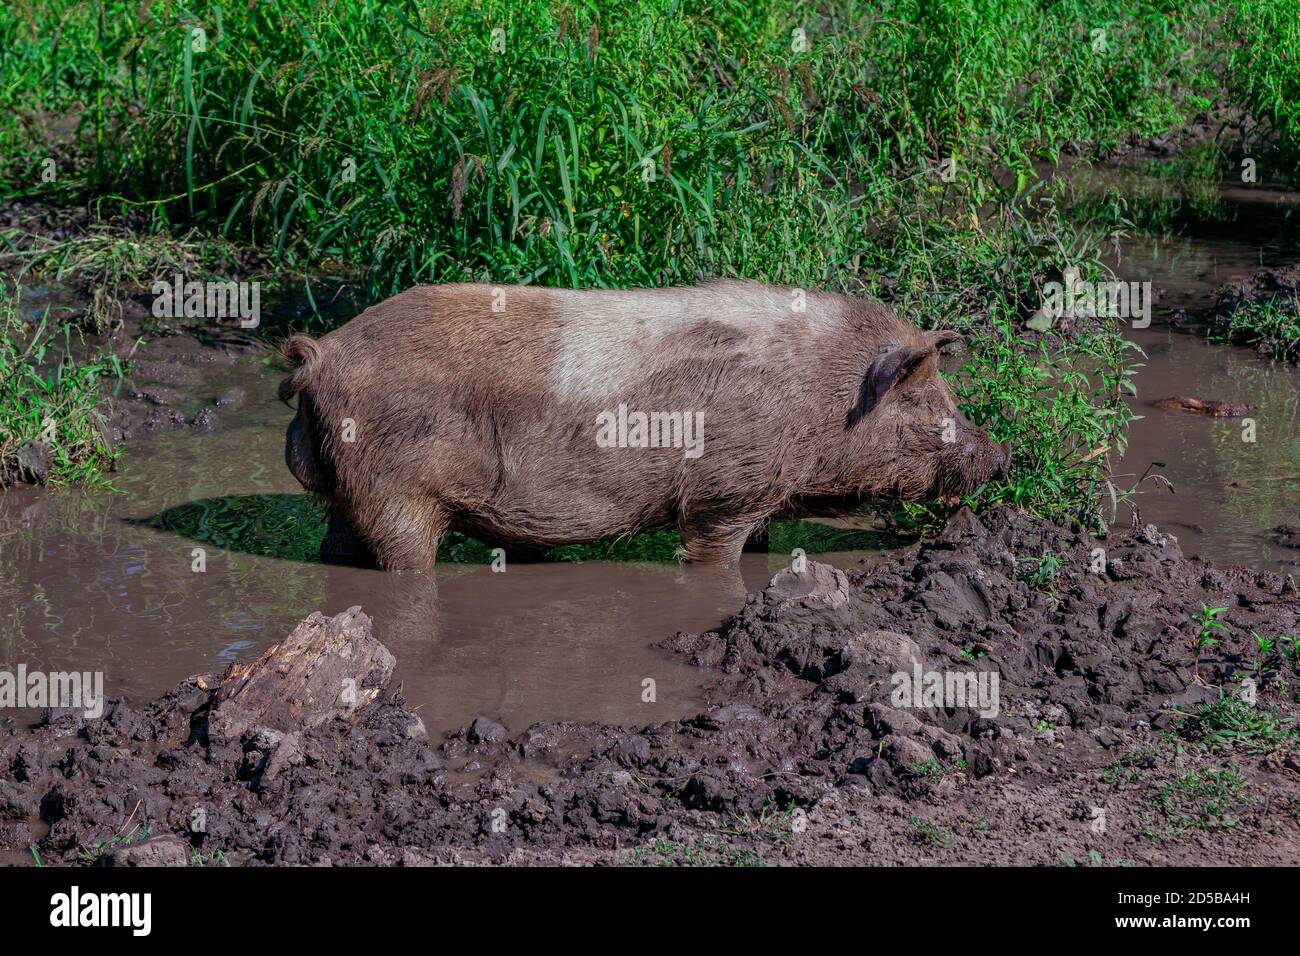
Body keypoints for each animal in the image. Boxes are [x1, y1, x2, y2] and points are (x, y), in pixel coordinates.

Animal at [282, 280, 1013, 572]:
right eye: (927, 404)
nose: (1000, 454)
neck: (820, 394)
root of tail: (322, 354)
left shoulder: (760, 494)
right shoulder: (723, 494)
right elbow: (713, 555)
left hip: (349, 493)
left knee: (336, 549)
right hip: (397, 491)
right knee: (405, 558)